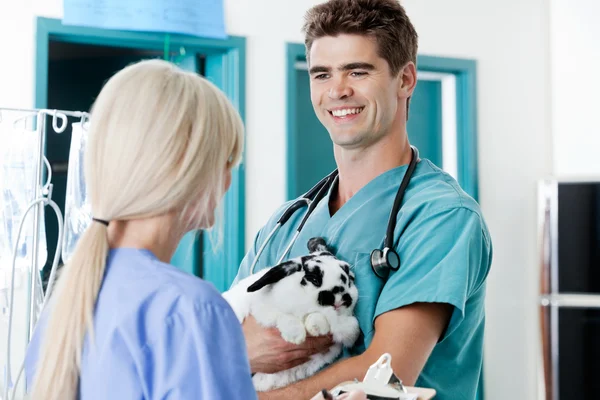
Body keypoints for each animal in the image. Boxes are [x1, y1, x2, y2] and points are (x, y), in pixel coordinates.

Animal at [223, 238, 358, 390]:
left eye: (350, 279)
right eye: (314, 279)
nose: (342, 298)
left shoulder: (348, 331)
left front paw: (317, 327)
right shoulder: (263, 312)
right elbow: (284, 316)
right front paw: (296, 336)